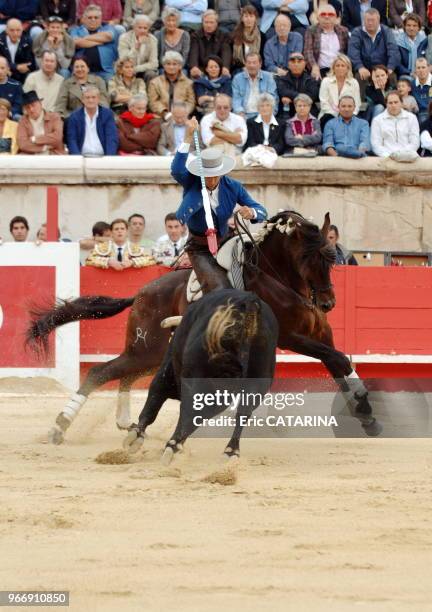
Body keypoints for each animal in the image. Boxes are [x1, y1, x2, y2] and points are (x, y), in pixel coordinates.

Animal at [27, 212, 380, 444]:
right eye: (309, 258)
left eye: (331, 257)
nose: (328, 303)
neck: (279, 279)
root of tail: (141, 292)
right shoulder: (291, 337)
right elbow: (337, 359)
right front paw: (365, 409)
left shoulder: (321, 333)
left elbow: (339, 363)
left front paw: (367, 415)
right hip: (146, 348)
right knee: (100, 372)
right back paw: (60, 427)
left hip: (151, 353)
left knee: (123, 374)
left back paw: (123, 421)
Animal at [124, 290, 280, 462]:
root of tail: (249, 303)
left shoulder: (167, 372)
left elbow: (154, 399)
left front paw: (134, 437)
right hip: (254, 382)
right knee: (241, 412)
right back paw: (230, 451)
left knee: (187, 409)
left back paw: (172, 445)